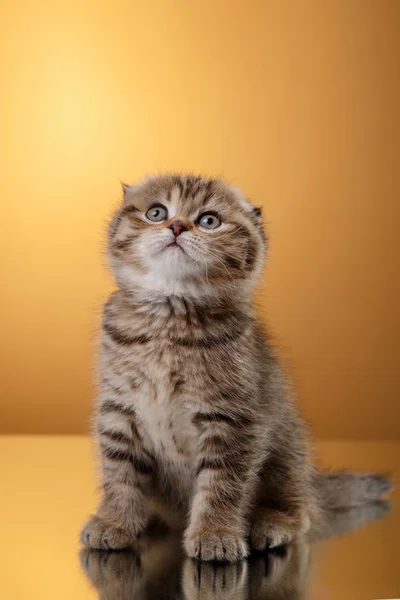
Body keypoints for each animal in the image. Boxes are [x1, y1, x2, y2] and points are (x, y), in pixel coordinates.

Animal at [80, 173, 390, 564]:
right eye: (156, 213)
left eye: (209, 220)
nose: (177, 225)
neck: (169, 318)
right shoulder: (119, 411)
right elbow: (120, 473)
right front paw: (115, 521)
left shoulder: (231, 418)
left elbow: (221, 482)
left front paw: (215, 534)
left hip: (289, 455)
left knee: (299, 510)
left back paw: (272, 524)